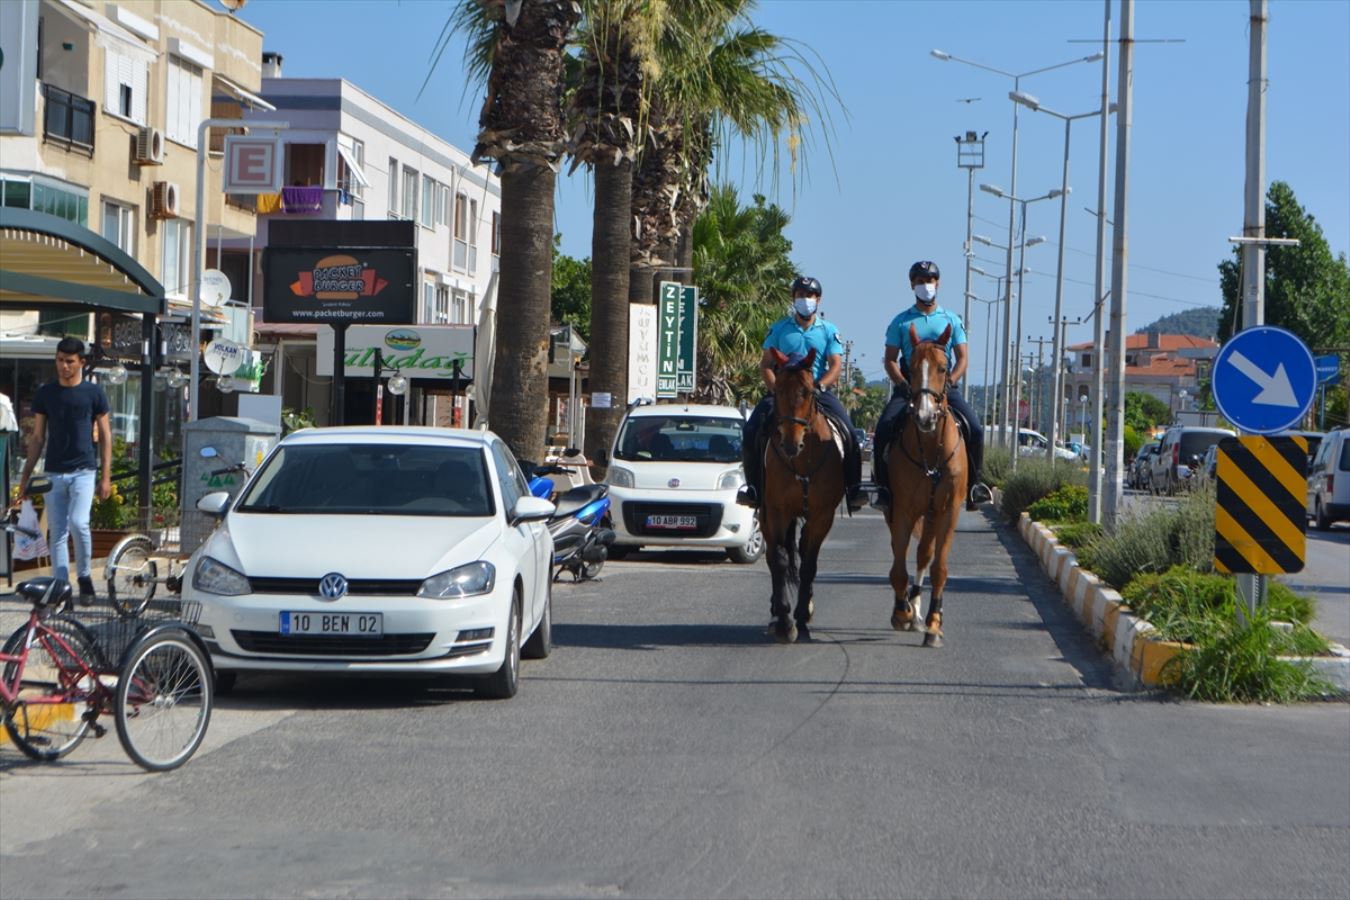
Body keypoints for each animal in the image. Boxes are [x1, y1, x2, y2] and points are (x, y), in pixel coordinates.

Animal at [761, 348, 842, 644]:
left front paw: (802, 619)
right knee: (774, 556)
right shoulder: (775, 511)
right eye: (778, 390)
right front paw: (785, 621)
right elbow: (780, 560)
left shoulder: (822, 515)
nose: (790, 443)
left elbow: (808, 563)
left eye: (807, 391)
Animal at [885, 323, 972, 647]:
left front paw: (934, 623)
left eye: (943, 367)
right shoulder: (902, 510)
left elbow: (939, 568)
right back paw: (909, 609)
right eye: (909, 368)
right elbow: (898, 567)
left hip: (933, 514)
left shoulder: (949, 511)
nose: (924, 415)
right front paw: (901, 613)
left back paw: (922, 612)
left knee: (925, 554)